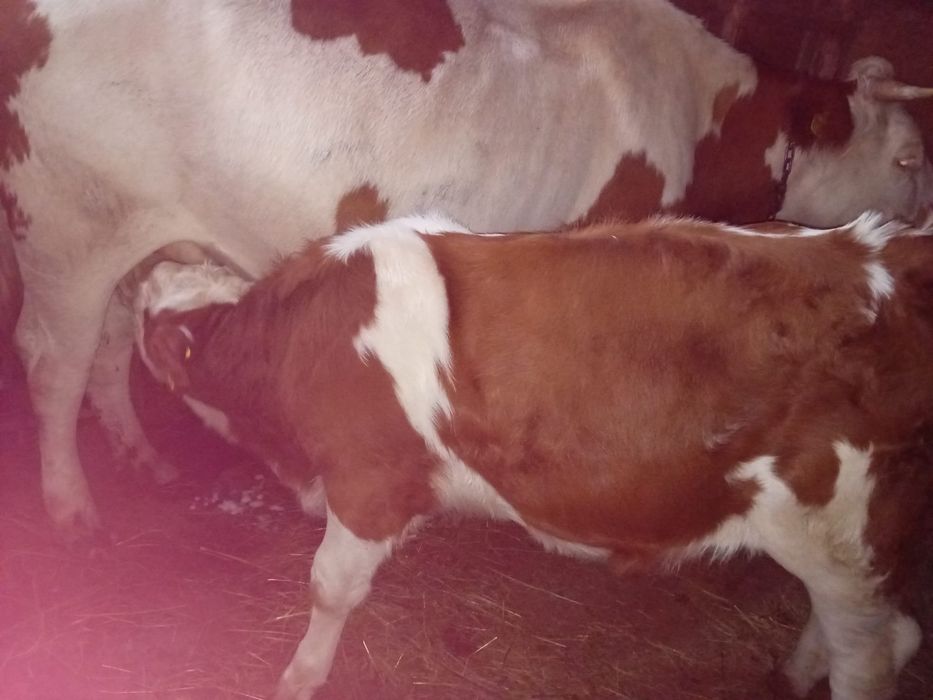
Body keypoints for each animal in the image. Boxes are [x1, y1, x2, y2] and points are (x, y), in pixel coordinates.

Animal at [2, 0, 933, 538]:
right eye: (908, 157)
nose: (919, 223)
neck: (702, 121)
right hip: (65, 222)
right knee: (54, 362)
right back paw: (72, 507)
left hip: (133, 232)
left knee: (109, 348)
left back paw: (141, 459)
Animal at [134, 211, 933, 700]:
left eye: (144, 325)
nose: (141, 270)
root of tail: (881, 245)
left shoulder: (367, 482)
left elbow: (329, 588)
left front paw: (299, 677)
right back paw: (790, 674)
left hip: (834, 527)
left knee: (876, 650)